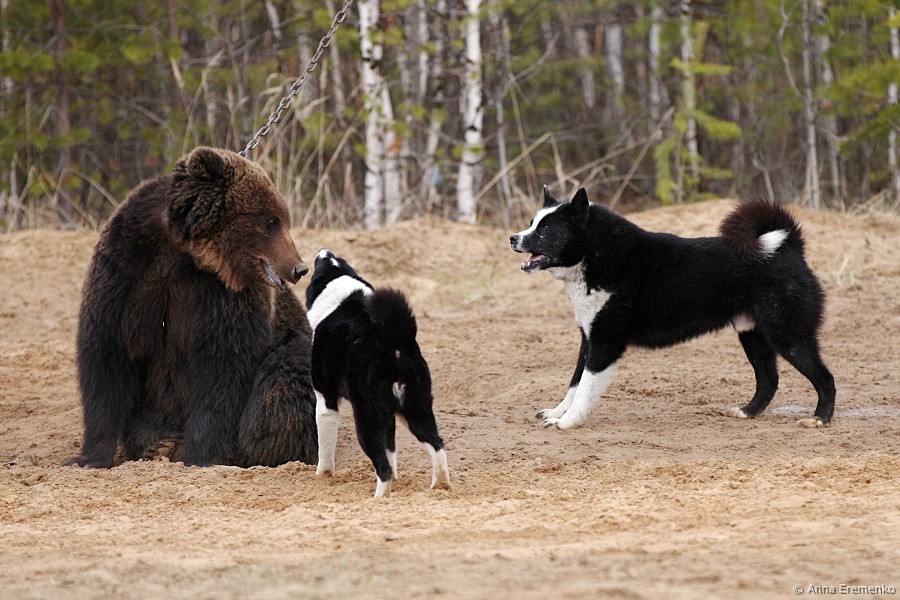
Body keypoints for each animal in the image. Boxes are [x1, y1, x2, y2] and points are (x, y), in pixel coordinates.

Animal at [65, 146, 318, 468]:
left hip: (290, 342)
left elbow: (222, 369)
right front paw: (89, 457)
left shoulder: (223, 298)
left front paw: (199, 455)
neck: (184, 252)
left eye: (283, 219)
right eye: (271, 221)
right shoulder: (124, 272)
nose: (299, 268)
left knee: (282, 388)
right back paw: (158, 441)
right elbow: (107, 359)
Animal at [305, 249, 451, 497]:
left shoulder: (326, 402)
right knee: (437, 446)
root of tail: (394, 344)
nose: (325, 251)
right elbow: (391, 453)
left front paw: (322, 478)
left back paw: (379, 499)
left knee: (382, 468)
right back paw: (440, 487)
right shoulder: (389, 416)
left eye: (321, 267)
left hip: (367, 418)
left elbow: (325, 451)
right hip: (416, 410)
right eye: (340, 261)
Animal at [509, 187, 835, 431]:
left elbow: (586, 386)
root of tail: (788, 247)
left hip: (789, 337)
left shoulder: (604, 342)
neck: (597, 254)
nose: (513, 238)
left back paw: (820, 418)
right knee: (768, 380)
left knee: (825, 378)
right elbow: (575, 383)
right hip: (753, 335)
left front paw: (567, 421)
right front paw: (557, 412)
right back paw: (747, 411)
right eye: (532, 222)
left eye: (546, 229)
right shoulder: (588, 339)